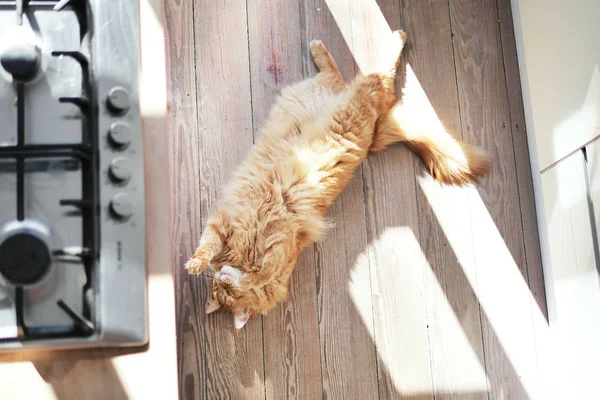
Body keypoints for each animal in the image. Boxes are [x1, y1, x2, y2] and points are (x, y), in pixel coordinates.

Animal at [185, 31, 490, 330]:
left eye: (227, 291)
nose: (220, 277)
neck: (244, 252)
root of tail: (372, 140)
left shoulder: (266, 240)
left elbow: (254, 270)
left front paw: (202, 266)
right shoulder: (224, 223)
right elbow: (209, 245)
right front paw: (200, 263)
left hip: (356, 101)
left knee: (373, 73)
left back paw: (385, 37)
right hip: (348, 98)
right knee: (348, 77)